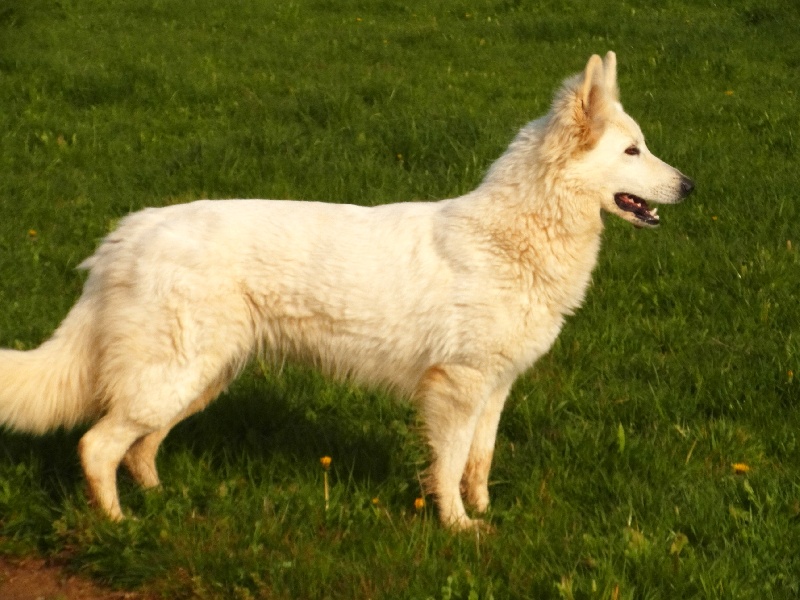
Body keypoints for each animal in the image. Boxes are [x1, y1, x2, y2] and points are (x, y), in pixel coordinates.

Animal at [0, 52, 692, 528]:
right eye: (632, 151)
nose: (690, 186)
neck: (512, 237)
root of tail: (129, 232)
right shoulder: (457, 387)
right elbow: (448, 465)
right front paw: (457, 528)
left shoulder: (494, 388)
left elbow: (480, 461)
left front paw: (485, 517)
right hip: (171, 376)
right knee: (97, 447)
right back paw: (121, 526)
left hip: (197, 378)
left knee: (139, 449)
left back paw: (163, 502)